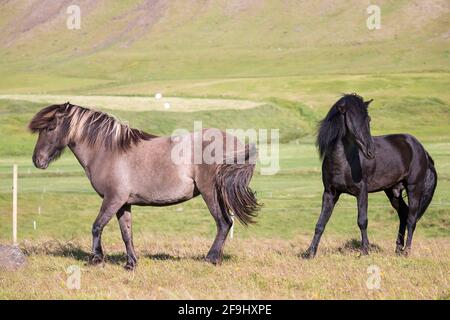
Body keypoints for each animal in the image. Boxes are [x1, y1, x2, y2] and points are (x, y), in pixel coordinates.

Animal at [29, 104, 260, 268]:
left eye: (50, 128)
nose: (37, 160)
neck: (109, 151)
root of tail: (237, 142)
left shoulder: (112, 199)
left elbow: (97, 226)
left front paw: (96, 259)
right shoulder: (123, 203)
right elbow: (126, 233)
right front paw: (131, 263)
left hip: (210, 193)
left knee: (223, 223)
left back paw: (210, 259)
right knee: (226, 223)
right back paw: (216, 259)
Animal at [304, 94, 438, 258]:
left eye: (368, 119)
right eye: (352, 118)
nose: (370, 151)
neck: (344, 162)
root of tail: (421, 149)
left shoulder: (362, 191)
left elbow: (362, 221)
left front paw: (365, 251)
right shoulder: (330, 193)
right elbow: (320, 223)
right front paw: (309, 253)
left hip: (414, 188)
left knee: (412, 219)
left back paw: (406, 251)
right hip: (393, 191)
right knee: (403, 214)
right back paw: (398, 250)